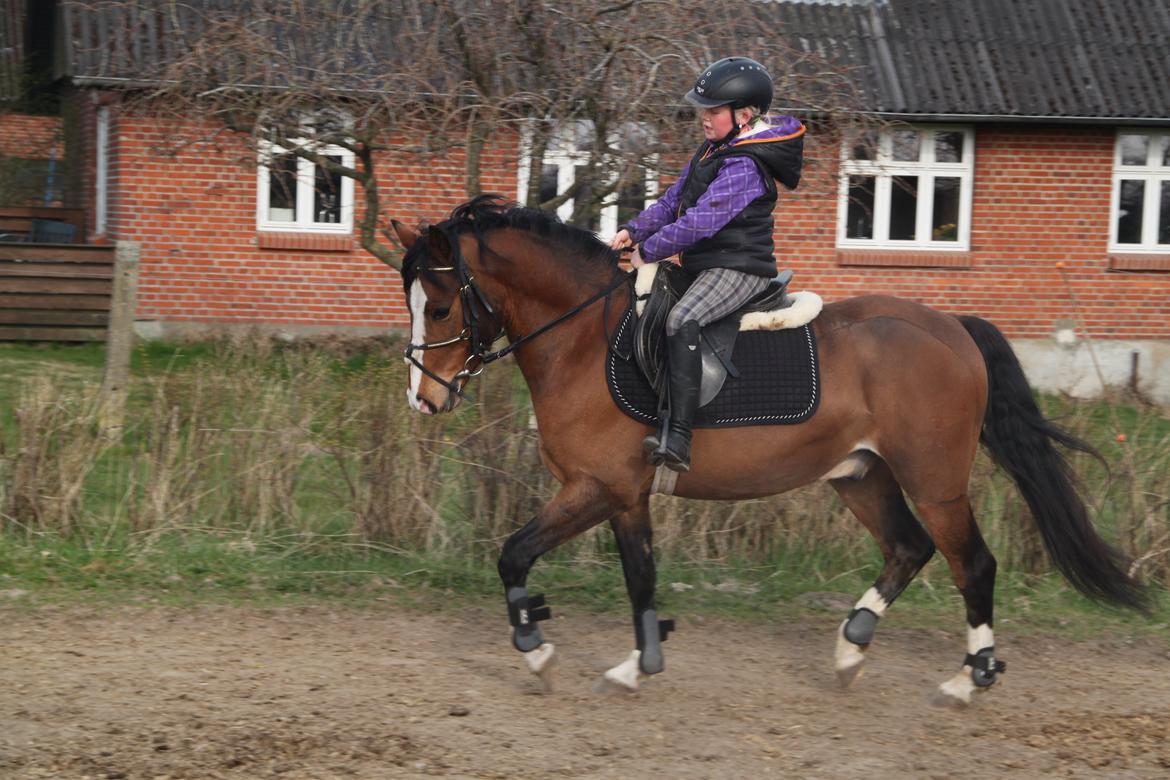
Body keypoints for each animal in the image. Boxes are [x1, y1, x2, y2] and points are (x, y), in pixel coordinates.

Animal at [387, 194, 1146, 705]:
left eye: (443, 305)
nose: (423, 399)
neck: (582, 340)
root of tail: (950, 327)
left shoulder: (595, 488)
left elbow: (513, 554)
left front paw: (536, 650)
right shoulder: (625, 495)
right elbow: (641, 577)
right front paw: (637, 664)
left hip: (935, 482)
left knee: (973, 565)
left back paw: (968, 679)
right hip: (860, 475)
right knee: (908, 548)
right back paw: (850, 647)